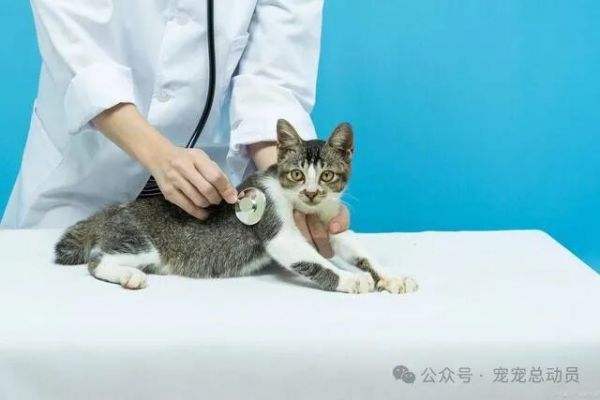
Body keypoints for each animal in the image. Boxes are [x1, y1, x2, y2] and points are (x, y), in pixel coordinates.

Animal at [54, 119, 418, 294]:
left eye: (327, 175)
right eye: (297, 174)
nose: (312, 192)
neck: (301, 207)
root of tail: (112, 210)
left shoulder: (328, 223)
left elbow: (358, 248)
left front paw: (392, 276)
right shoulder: (280, 235)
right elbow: (317, 262)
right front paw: (351, 280)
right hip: (144, 245)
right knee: (98, 260)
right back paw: (129, 276)